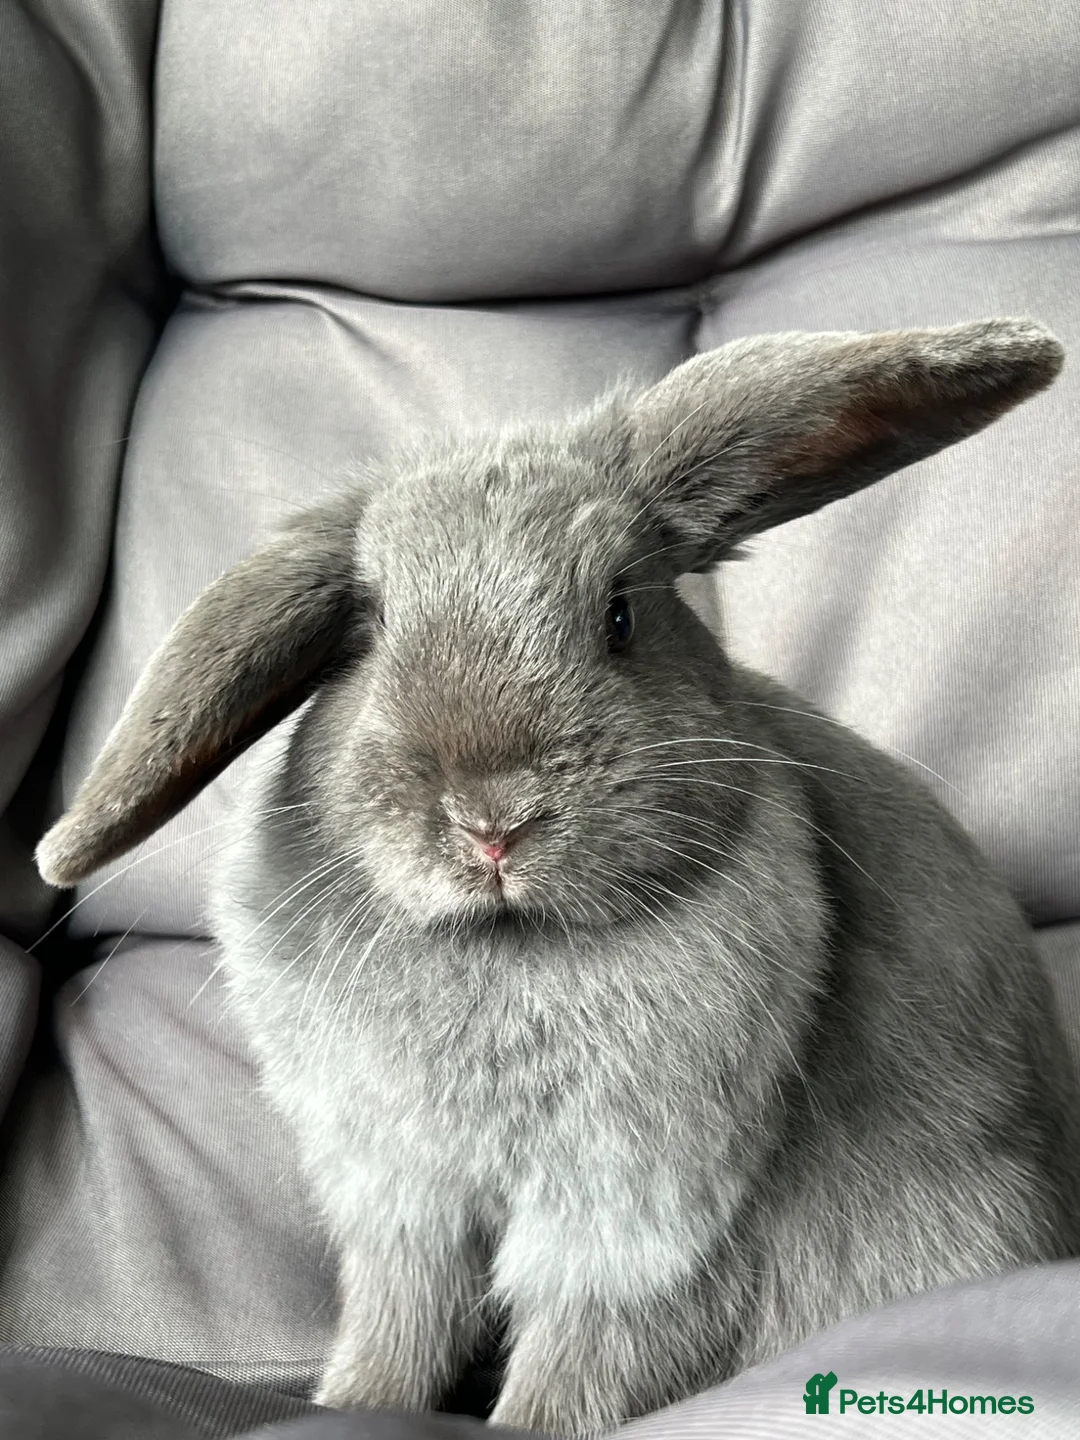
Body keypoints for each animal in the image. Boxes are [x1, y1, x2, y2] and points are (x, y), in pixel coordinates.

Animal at [37, 319, 1080, 1439]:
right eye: (371, 631)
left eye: (619, 614)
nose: (494, 821)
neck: (509, 945)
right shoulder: (403, 1201)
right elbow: (399, 1323)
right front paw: (355, 1404)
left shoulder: (640, 1223)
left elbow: (579, 1358)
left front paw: (525, 1422)